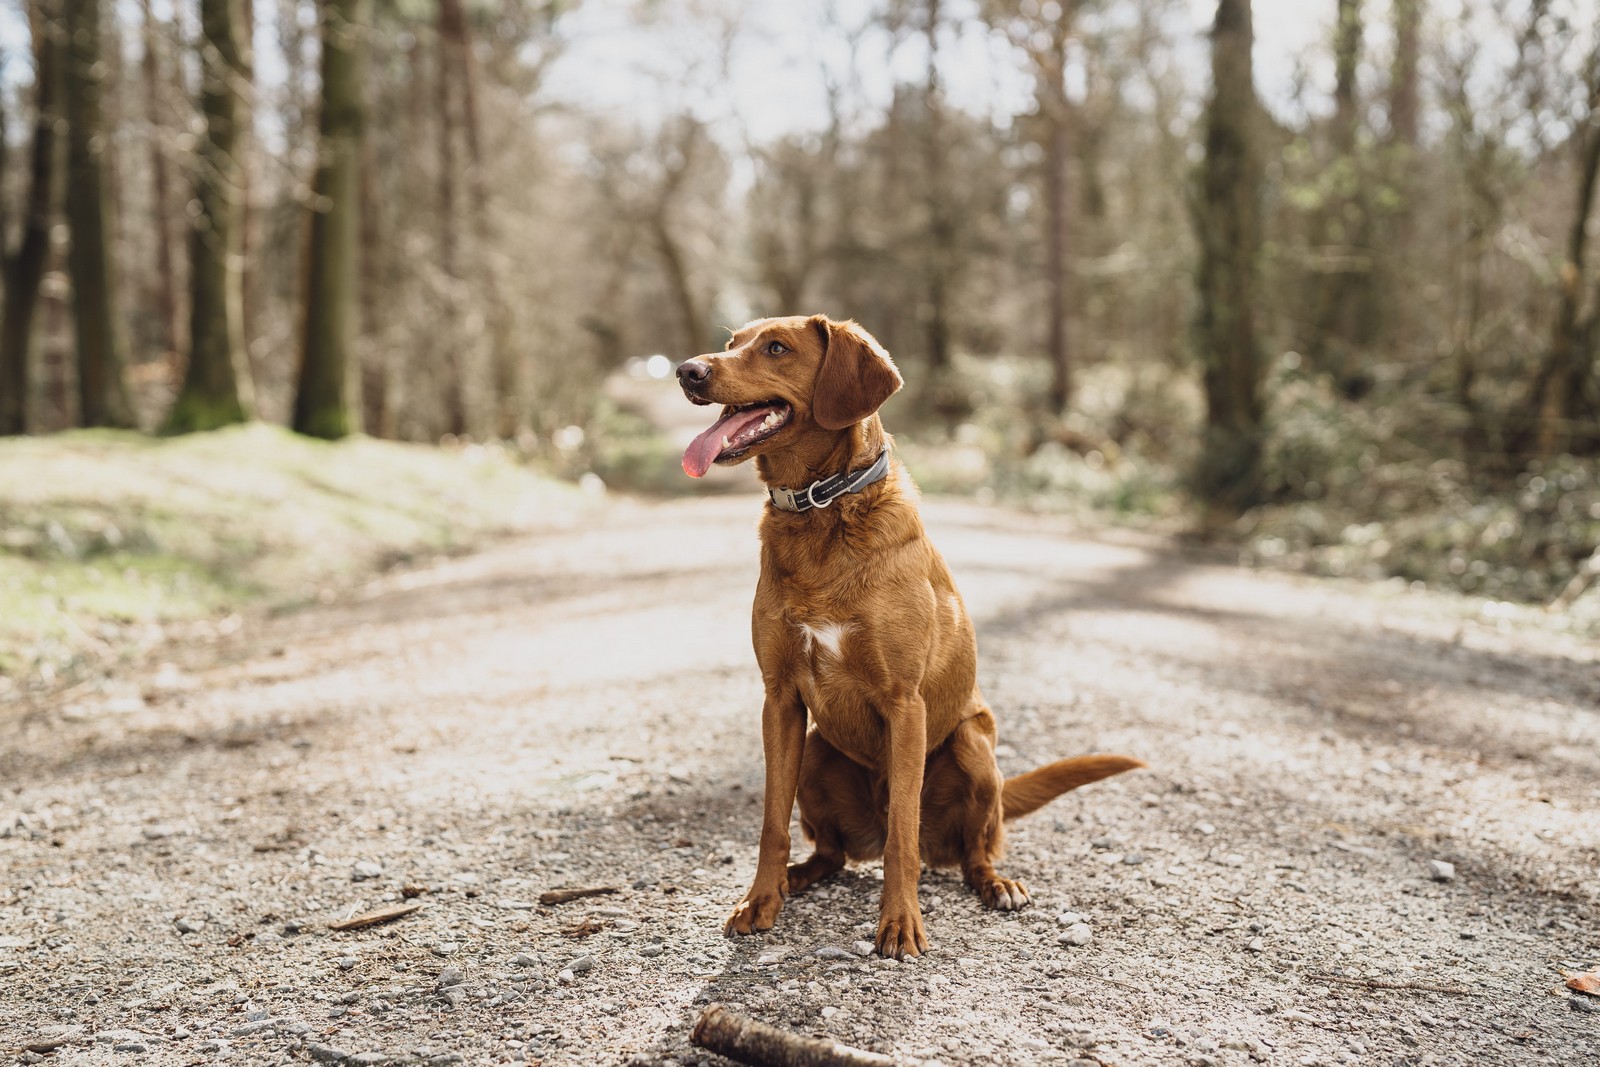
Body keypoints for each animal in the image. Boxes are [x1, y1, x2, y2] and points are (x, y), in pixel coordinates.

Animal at [681, 315, 1145, 959]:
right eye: (731, 343)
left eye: (776, 347)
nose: (687, 371)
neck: (822, 509)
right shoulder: (779, 700)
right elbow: (772, 822)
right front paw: (760, 900)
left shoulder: (905, 703)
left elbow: (904, 830)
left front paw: (899, 923)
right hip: (817, 751)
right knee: (832, 853)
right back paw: (798, 878)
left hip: (974, 747)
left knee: (967, 850)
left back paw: (996, 884)